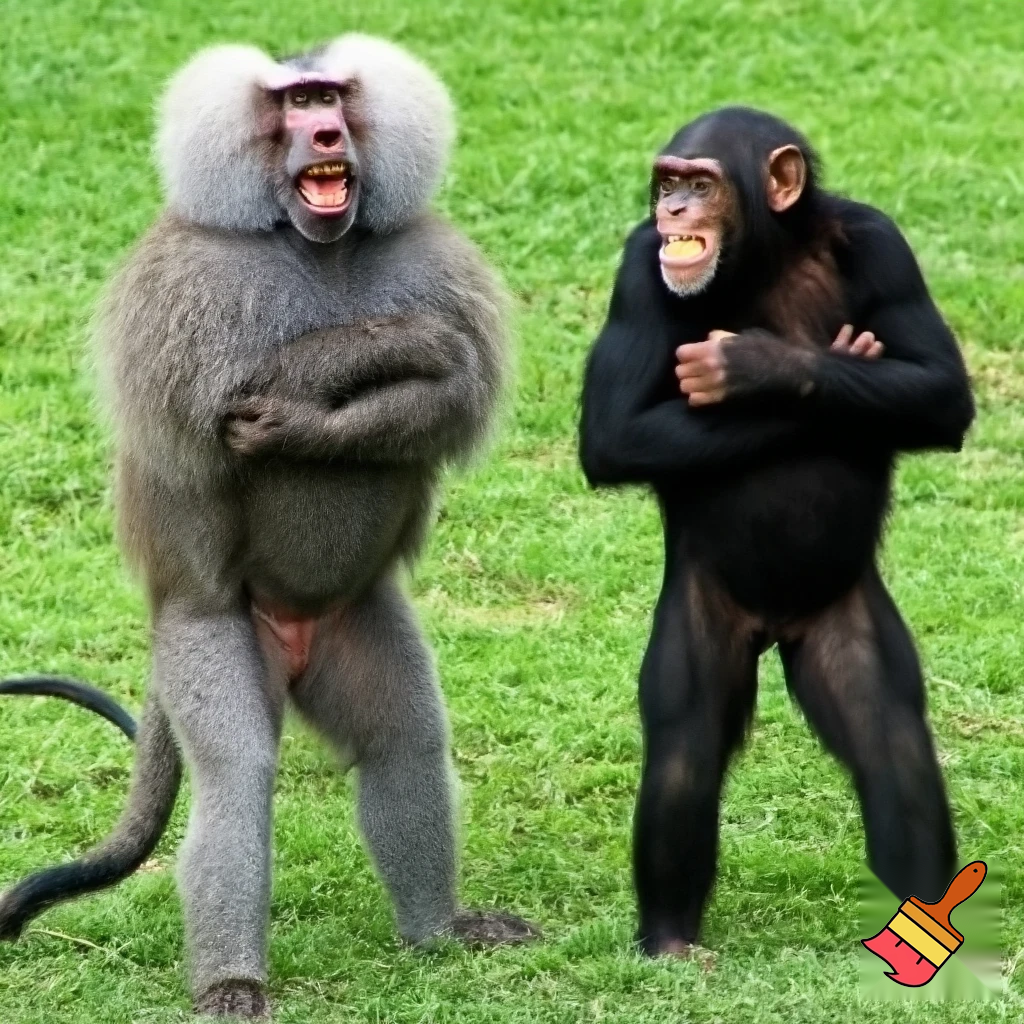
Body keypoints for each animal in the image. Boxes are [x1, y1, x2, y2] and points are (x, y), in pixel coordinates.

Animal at [0, 34, 537, 1019]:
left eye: (331, 96)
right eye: (292, 104)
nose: (323, 130)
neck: (316, 253)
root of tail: (289, 632)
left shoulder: (430, 256)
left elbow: (444, 399)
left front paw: (361, 385)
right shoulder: (188, 287)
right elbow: (229, 402)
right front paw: (369, 361)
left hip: (352, 621)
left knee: (403, 744)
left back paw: (438, 931)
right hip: (205, 632)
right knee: (237, 781)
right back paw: (232, 982)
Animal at [579, 107, 974, 958]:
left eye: (702, 184)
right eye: (668, 182)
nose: (674, 210)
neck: (768, 255)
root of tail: (775, 625)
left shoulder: (886, 244)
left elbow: (938, 387)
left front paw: (757, 366)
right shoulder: (637, 271)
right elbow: (615, 432)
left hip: (843, 617)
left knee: (892, 745)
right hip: (708, 618)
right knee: (686, 745)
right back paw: (670, 940)